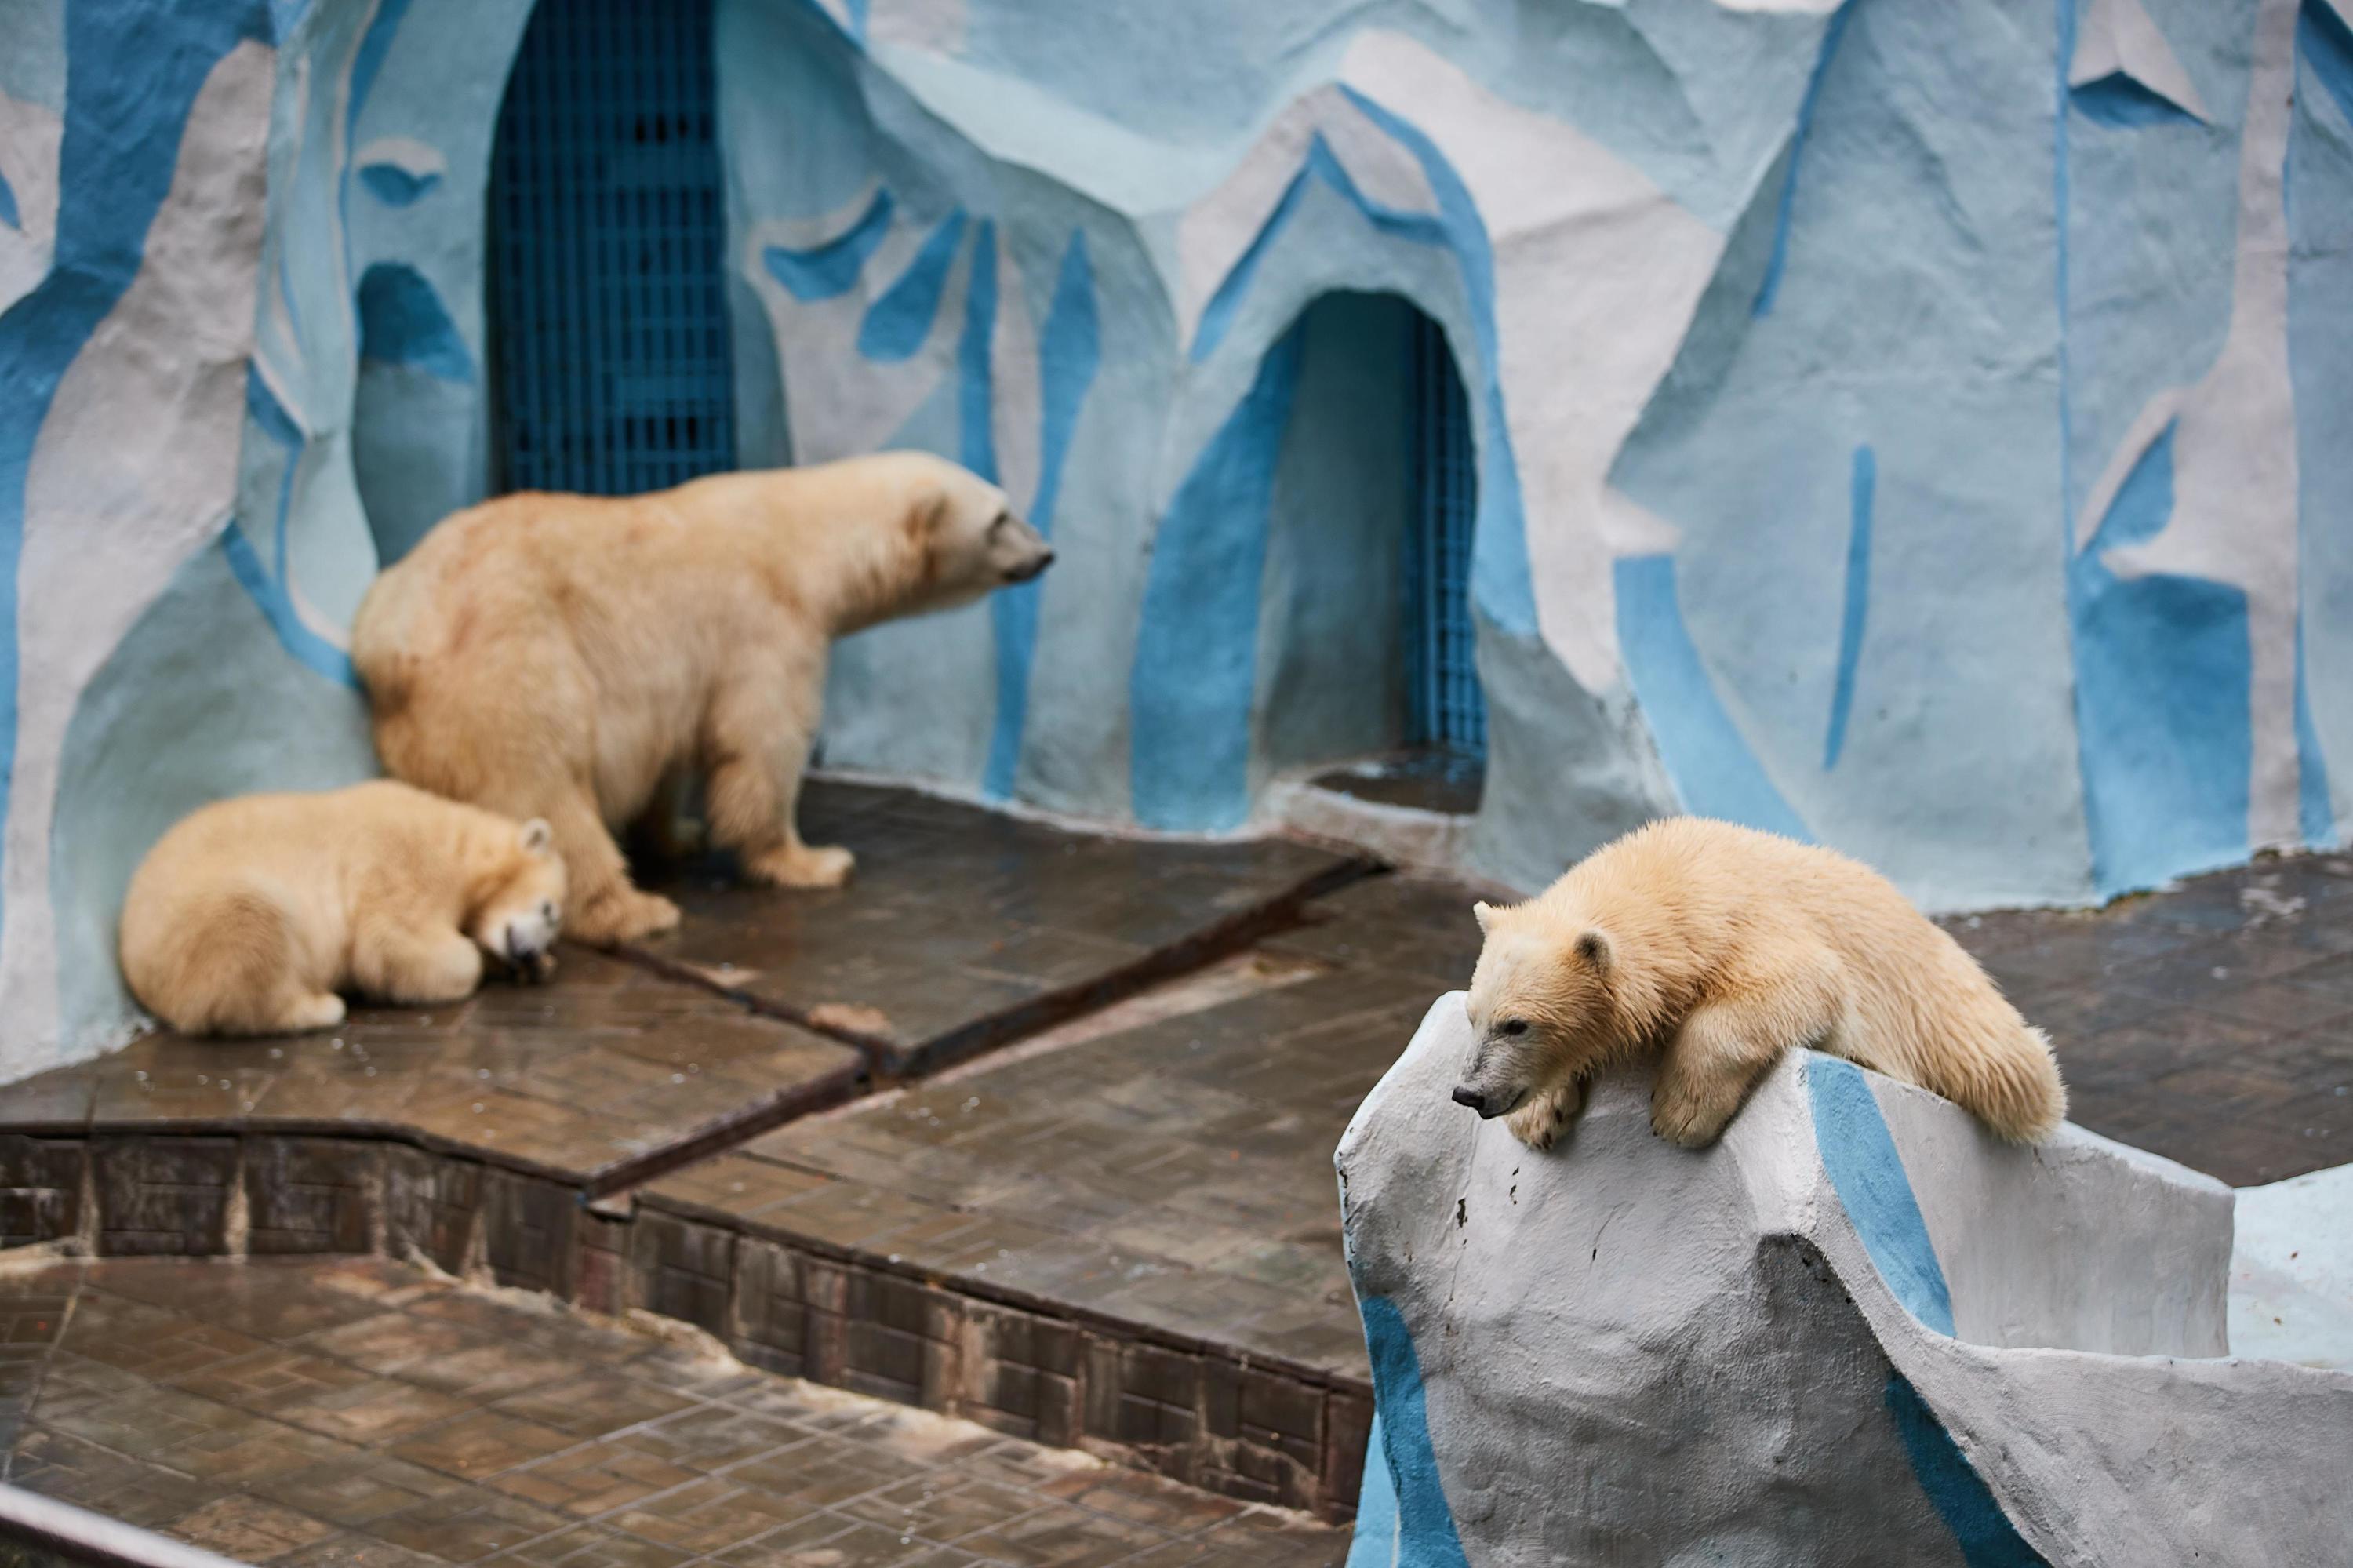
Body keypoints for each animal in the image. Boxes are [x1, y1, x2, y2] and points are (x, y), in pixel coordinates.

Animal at [124, 777, 569, 1031]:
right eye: (549, 910)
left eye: (551, 925)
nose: (529, 951)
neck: (458, 843)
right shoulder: (401, 863)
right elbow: (392, 941)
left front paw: (533, 969)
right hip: (196, 920)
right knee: (253, 923)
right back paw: (321, 1008)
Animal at [348, 449, 1049, 941]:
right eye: (1000, 517)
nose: (1047, 553)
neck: (802, 540)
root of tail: (388, 637)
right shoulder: (764, 623)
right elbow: (761, 745)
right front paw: (812, 860)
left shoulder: (669, 681)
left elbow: (667, 755)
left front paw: (677, 833)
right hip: (512, 666)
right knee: (545, 789)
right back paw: (635, 911)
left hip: (423, 719)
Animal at [1449, 819, 2061, 1148]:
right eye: (1474, 1016)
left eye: (1518, 1024)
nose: (1468, 1093)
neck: (1674, 877)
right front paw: (1539, 1116)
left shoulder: (1744, 922)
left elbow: (1803, 984)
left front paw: (1682, 1113)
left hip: (1944, 1008)